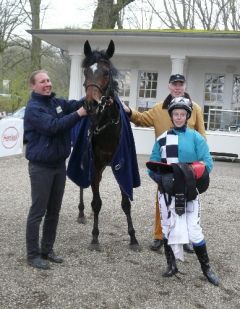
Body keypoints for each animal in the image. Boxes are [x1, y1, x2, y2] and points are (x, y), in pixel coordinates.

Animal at [66, 40, 141, 250]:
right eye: (85, 72)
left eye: (106, 73)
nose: (91, 104)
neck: (106, 126)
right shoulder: (94, 162)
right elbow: (97, 202)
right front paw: (95, 237)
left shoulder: (122, 163)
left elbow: (126, 203)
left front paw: (133, 237)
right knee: (84, 187)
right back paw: (82, 212)